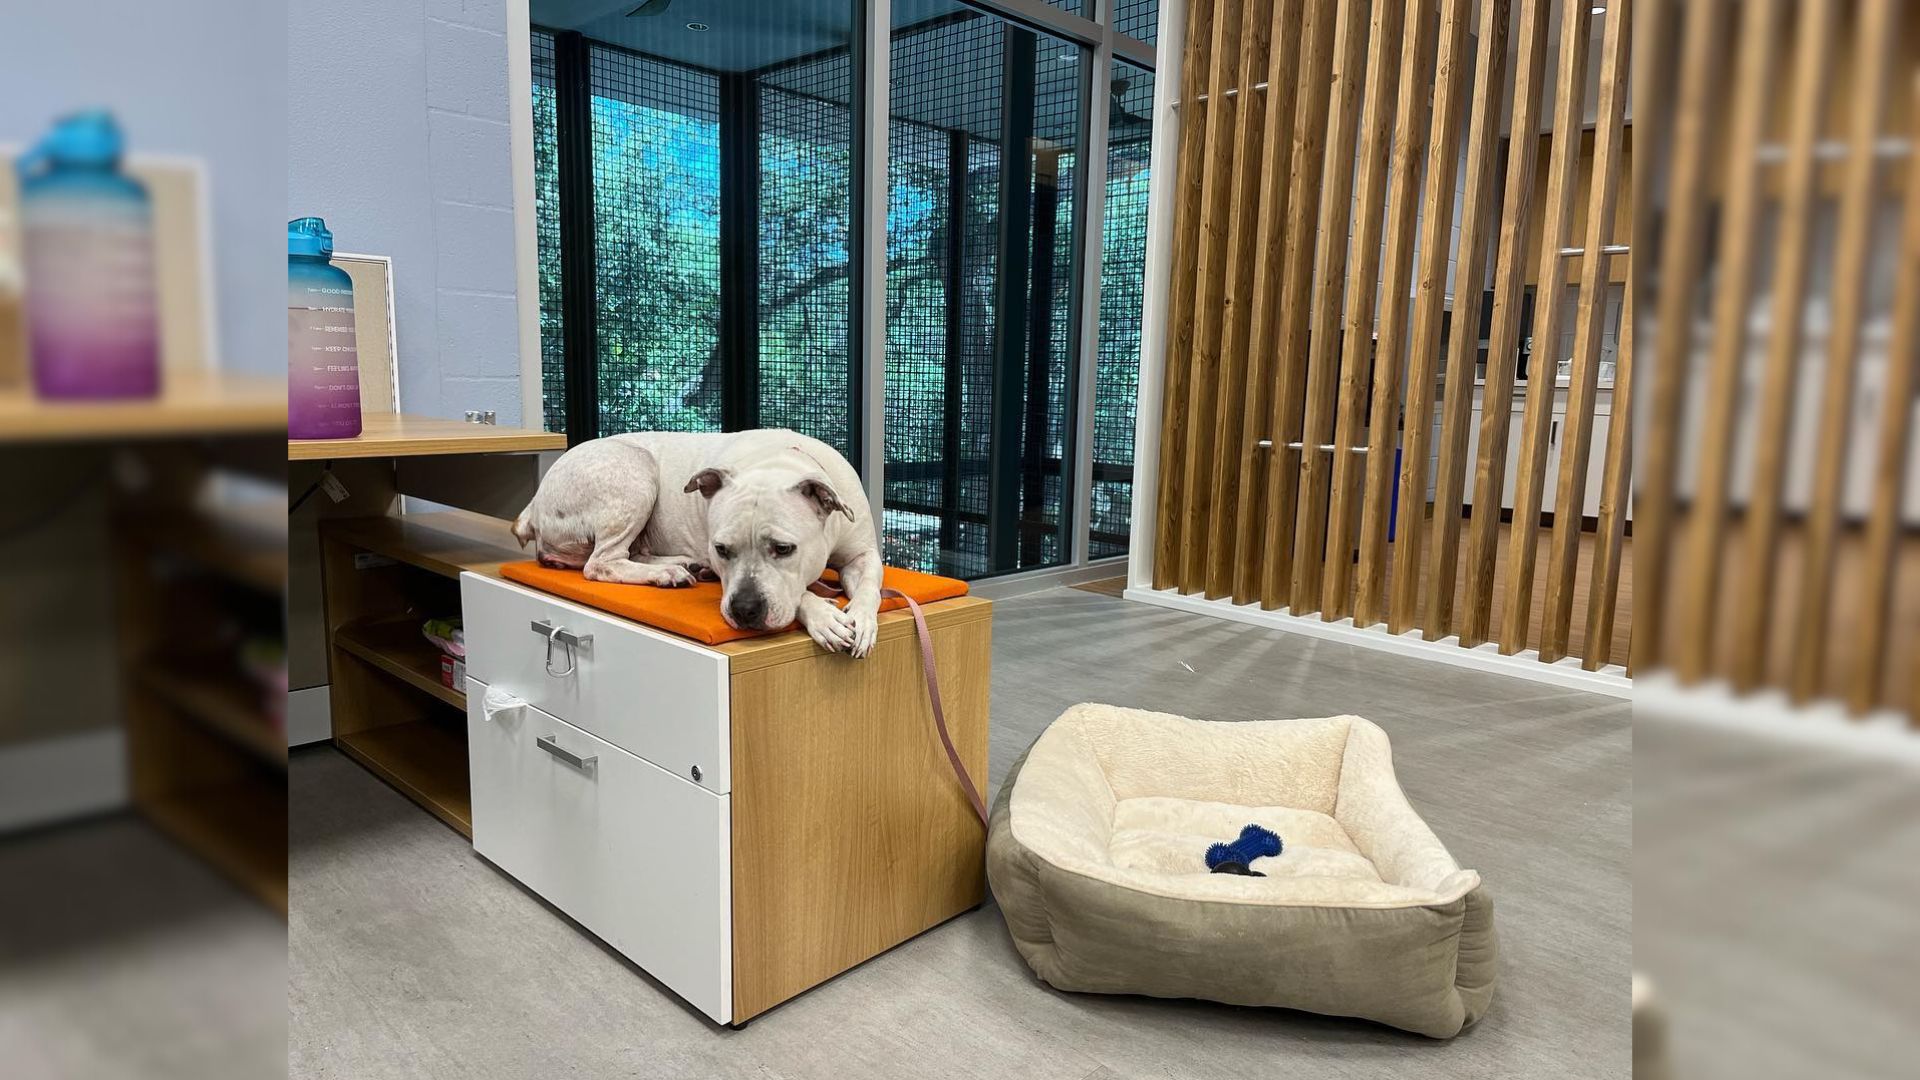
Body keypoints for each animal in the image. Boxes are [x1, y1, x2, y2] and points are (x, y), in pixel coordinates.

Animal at [506, 428, 887, 657]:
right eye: (722, 550)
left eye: (783, 549)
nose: (745, 609)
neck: (778, 462)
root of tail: (533, 506)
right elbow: (801, 593)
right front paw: (823, 615)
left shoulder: (863, 554)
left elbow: (871, 585)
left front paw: (862, 619)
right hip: (636, 470)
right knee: (601, 562)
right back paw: (667, 573)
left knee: (631, 552)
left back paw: (682, 565)